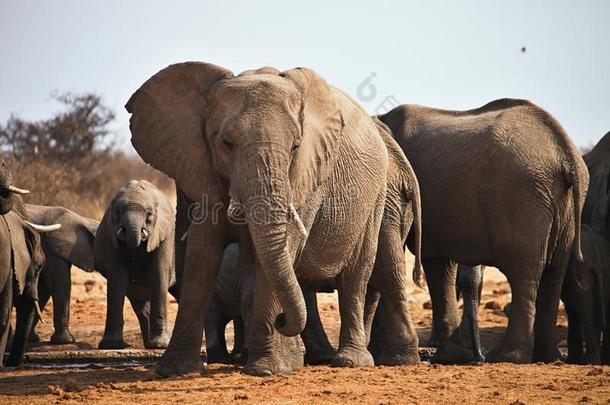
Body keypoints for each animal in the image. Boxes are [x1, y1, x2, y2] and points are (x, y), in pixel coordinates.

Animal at [25, 204, 97, 342]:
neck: (84, 220)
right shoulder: (49, 248)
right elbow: (60, 283)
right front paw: (66, 341)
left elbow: (43, 289)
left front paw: (31, 339)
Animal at [95, 178, 175, 348]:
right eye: (117, 213)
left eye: (149, 214)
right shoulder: (112, 236)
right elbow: (117, 279)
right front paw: (112, 345)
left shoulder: (164, 235)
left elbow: (159, 274)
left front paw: (160, 345)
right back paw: (147, 344)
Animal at [127, 62, 422, 376]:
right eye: (226, 143)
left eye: (295, 146)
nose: (282, 321)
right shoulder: (202, 169)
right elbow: (202, 252)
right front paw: (173, 370)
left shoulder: (307, 172)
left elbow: (283, 245)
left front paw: (265, 369)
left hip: (377, 195)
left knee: (357, 273)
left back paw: (351, 361)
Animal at [378, 98, 588, 362]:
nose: (479, 357)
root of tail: (567, 152)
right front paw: (451, 355)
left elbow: (435, 262)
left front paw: (447, 356)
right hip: (561, 205)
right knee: (554, 272)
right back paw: (546, 357)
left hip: (523, 198)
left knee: (525, 273)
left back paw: (507, 356)